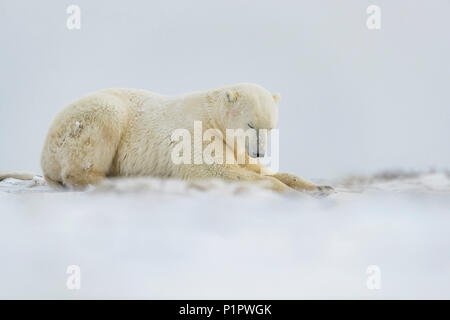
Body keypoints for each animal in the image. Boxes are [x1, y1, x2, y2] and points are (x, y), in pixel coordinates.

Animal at [40, 82, 332, 194]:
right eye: (251, 123)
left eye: (271, 127)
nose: (260, 151)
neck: (214, 116)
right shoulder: (197, 135)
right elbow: (214, 170)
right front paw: (287, 191)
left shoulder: (236, 147)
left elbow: (255, 168)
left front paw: (319, 187)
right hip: (90, 119)